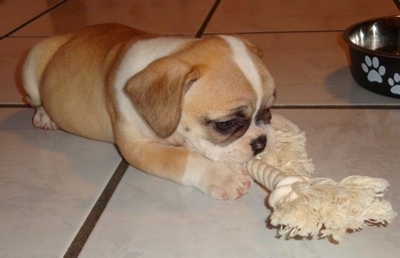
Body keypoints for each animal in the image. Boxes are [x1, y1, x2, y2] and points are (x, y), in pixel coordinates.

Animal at [21, 23, 276, 202]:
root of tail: (68, 35)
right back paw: (44, 116)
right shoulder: (137, 148)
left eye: (268, 111)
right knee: (34, 100)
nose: (261, 143)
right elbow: (182, 159)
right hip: (31, 65)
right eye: (225, 124)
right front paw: (221, 176)